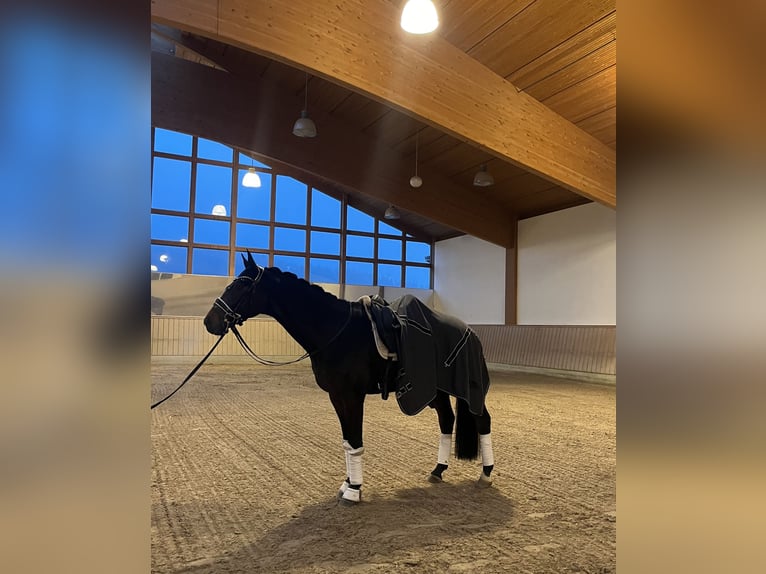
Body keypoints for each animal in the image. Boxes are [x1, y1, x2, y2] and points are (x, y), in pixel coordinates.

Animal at [203, 252, 495, 506]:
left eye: (240, 285)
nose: (210, 322)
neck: (334, 330)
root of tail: (470, 332)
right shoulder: (337, 396)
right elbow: (347, 441)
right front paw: (347, 484)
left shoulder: (352, 396)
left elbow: (355, 441)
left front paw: (353, 491)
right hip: (438, 390)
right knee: (446, 420)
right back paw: (437, 470)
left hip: (467, 390)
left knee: (482, 421)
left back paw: (486, 474)